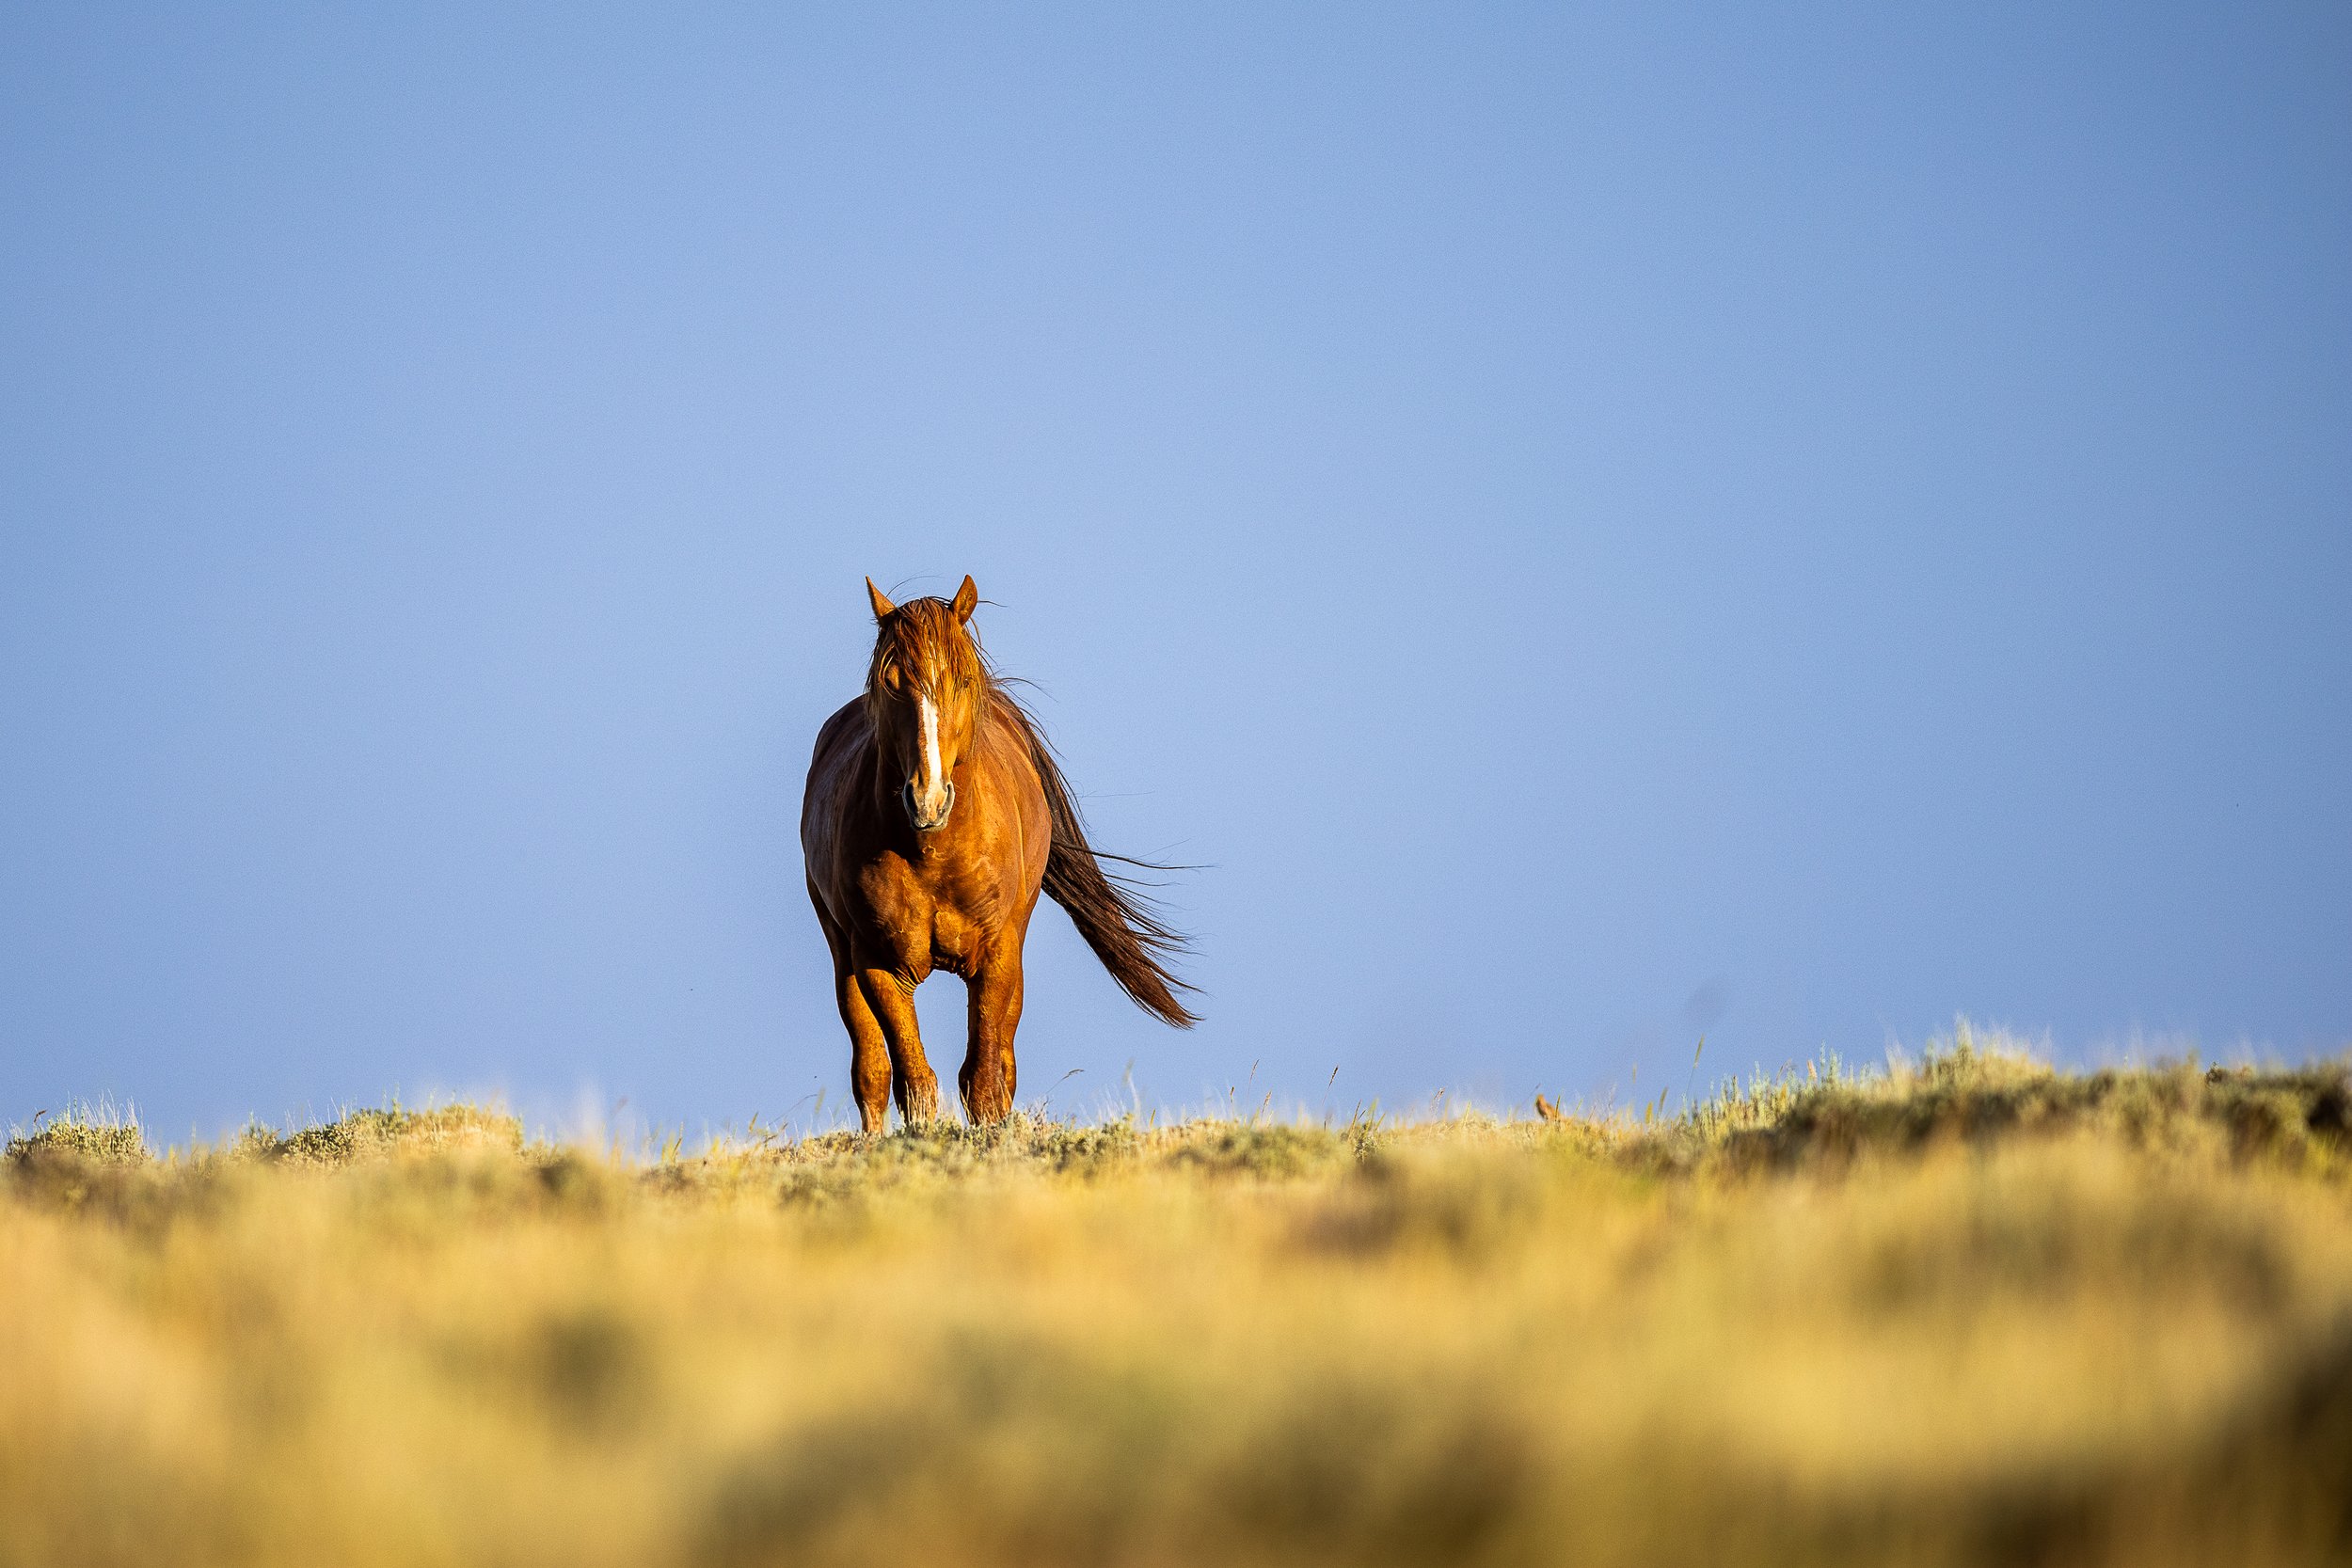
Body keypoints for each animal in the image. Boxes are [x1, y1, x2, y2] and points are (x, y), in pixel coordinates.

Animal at [800, 575, 1195, 1129]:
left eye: (964, 679)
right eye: (891, 681)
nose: (928, 798)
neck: (931, 853)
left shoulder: (997, 956)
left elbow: (984, 1079)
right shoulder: (878, 964)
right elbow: (914, 1083)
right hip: (843, 956)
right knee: (871, 1071)